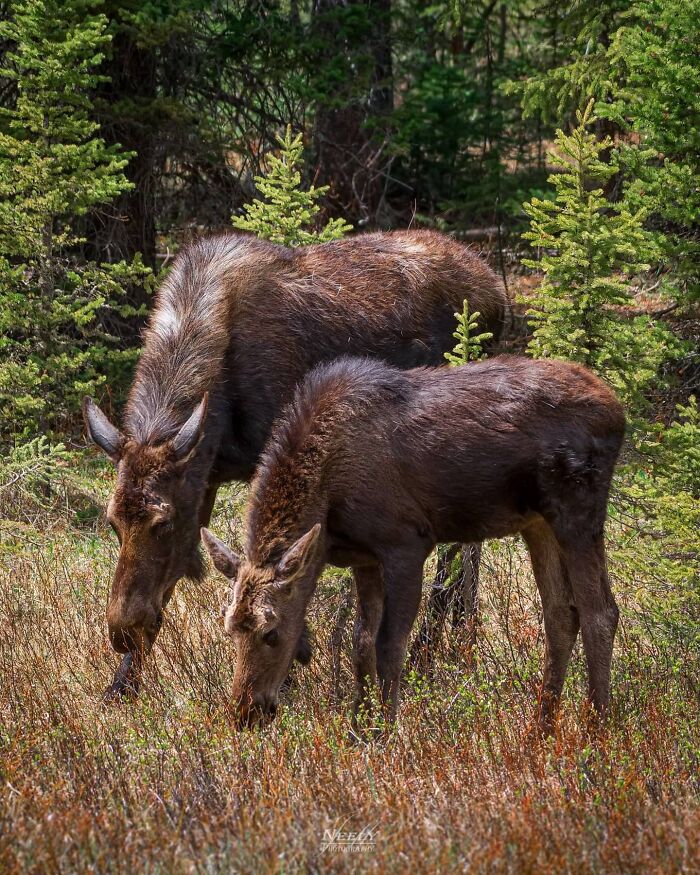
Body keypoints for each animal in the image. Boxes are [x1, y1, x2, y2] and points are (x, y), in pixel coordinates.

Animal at [83, 230, 508, 699]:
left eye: (163, 522)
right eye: (112, 523)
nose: (121, 632)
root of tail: (495, 289)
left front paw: (287, 674)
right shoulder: (205, 475)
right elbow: (173, 581)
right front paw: (123, 685)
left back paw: (432, 647)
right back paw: (461, 634)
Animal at [201, 355, 625, 734]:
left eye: (271, 633)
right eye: (230, 629)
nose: (246, 712)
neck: (328, 498)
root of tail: (618, 412)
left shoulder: (405, 543)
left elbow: (390, 645)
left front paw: (385, 736)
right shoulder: (364, 558)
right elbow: (361, 644)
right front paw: (356, 731)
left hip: (578, 510)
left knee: (600, 612)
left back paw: (597, 734)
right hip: (537, 523)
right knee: (560, 613)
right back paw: (541, 733)